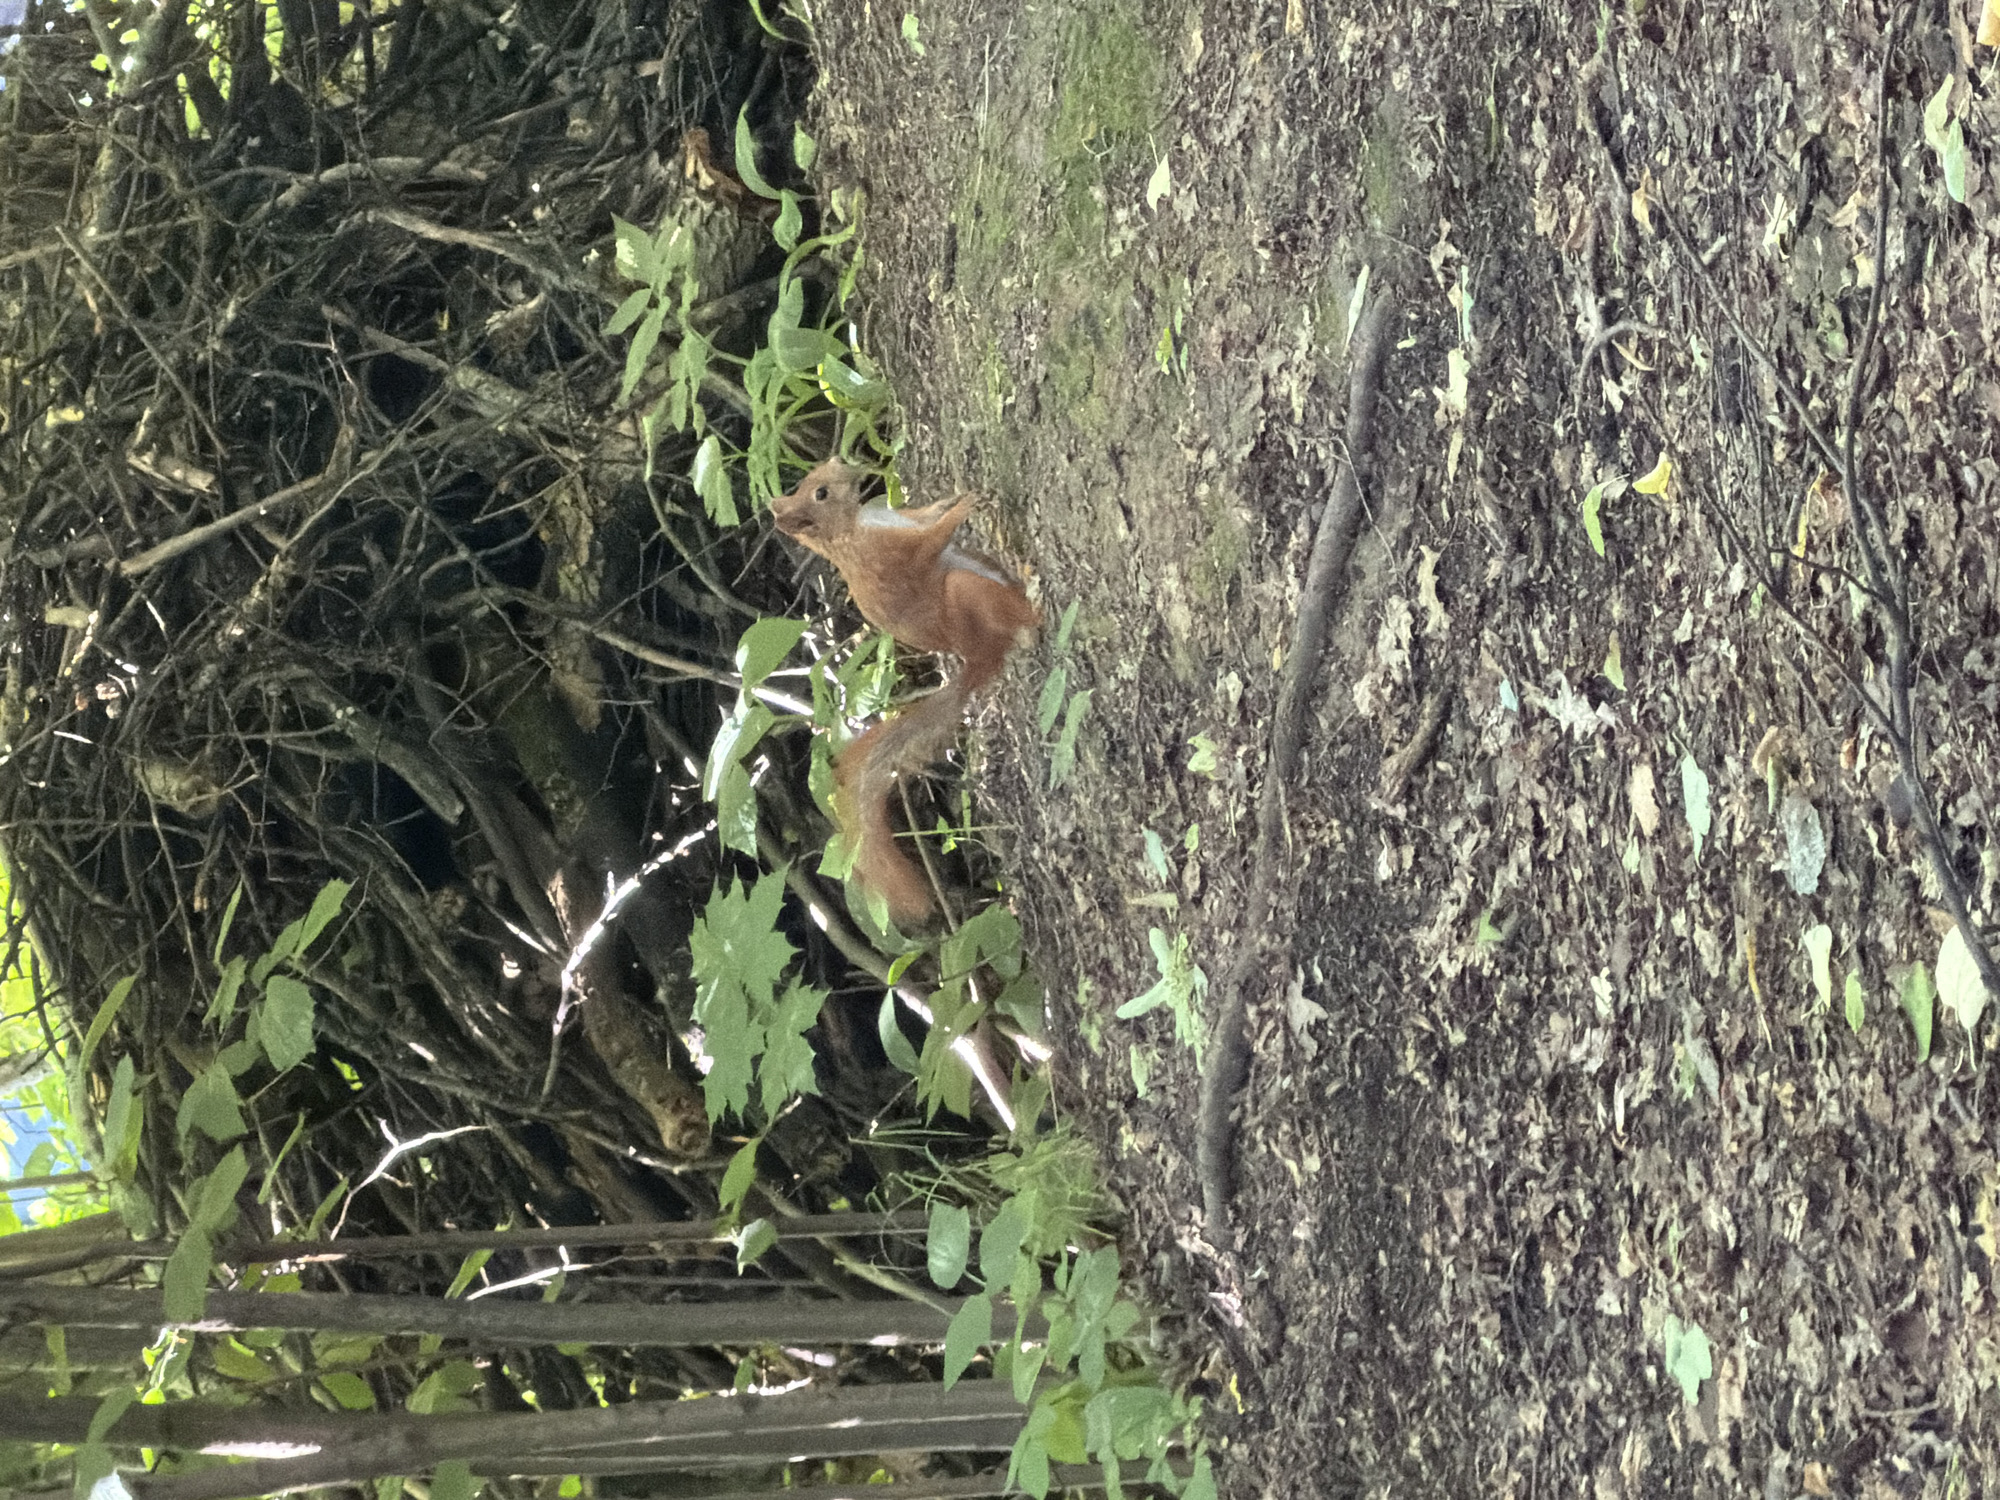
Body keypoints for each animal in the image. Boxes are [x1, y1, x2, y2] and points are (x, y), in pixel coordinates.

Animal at [771, 458, 1039, 924]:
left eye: (824, 472)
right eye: (820, 494)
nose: (851, 466)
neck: (856, 526)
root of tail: (977, 661)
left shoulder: (905, 520)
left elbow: (928, 516)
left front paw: (950, 499)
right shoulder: (893, 556)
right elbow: (931, 543)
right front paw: (965, 506)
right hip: (965, 592)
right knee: (1017, 626)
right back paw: (1034, 609)